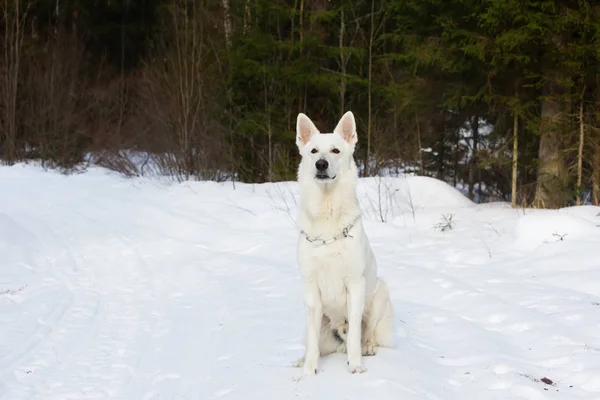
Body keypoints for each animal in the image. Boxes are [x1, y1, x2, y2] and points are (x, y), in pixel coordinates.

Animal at [294, 110, 394, 376]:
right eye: (314, 151)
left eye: (336, 151)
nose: (321, 164)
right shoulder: (311, 289)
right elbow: (312, 343)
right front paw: (309, 370)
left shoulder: (355, 285)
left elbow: (355, 336)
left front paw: (355, 364)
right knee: (317, 342)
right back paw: (303, 359)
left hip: (380, 293)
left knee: (366, 332)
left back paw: (367, 347)